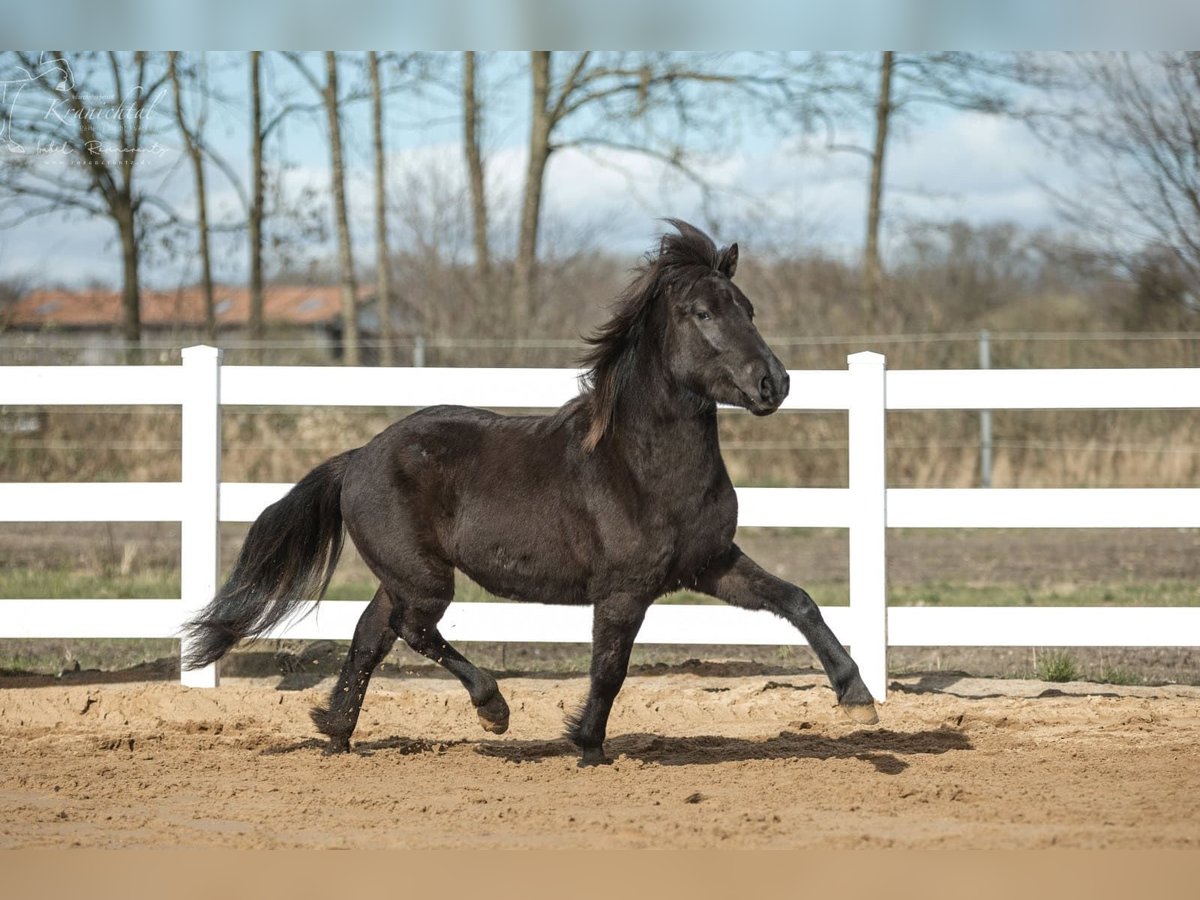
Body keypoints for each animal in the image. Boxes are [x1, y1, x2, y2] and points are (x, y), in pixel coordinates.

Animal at [182, 219, 878, 766]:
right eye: (702, 313)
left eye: (749, 308)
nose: (773, 383)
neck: (642, 467)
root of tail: (357, 458)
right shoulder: (624, 589)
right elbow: (609, 668)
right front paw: (588, 745)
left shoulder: (708, 564)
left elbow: (798, 601)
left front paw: (858, 699)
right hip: (425, 578)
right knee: (412, 630)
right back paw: (492, 709)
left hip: (404, 574)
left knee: (372, 635)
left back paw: (337, 734)